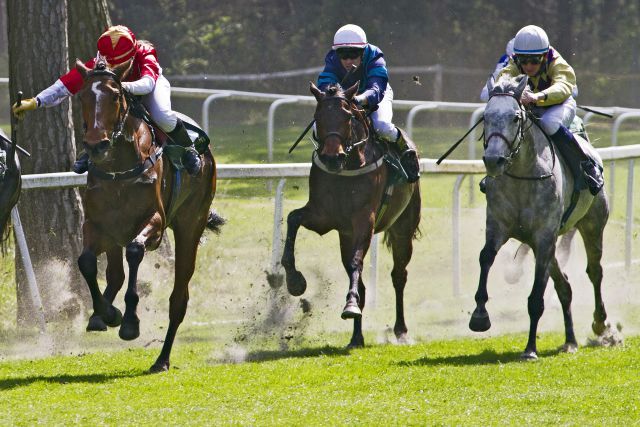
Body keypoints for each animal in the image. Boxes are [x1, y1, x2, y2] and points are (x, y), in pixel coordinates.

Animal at [74, 58, 220, 372]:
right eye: (82, 97)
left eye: (115, 95)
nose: (96, 144)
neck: (117, 168)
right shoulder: (97, 225)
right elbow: (87, 262)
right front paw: (107, 313)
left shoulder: (155, 223)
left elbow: (135, 251)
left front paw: (129, 322)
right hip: (115, 233)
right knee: (115, 274)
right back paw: (101, 314)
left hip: (191, 224)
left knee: (179, 299)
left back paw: (162, 359)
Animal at [280, 83, 420, 348]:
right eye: (318, 116)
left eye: (348, 116)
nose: (332, 157)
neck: (348, 168)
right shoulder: (323, 216)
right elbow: (293, 218)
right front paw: (294, 280)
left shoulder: (364, 220)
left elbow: (357, 263)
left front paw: (350, 306)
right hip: (345, 237)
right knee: (363, 283)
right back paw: (356, 338)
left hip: (403, 228)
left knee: (399, 276)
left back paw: (401, 330)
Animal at [470, 75, 620, 360]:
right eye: (486, 117)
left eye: (515, 117)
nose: (493, 160)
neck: (522, 176)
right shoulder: (498, 227)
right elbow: (485, 258)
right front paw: (479, 316)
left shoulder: (544, 236)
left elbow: (536, 298)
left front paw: (530, 348)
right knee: (565, 287)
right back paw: (570, 340)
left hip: (592, 226)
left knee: (595, 271)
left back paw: (601, 324)